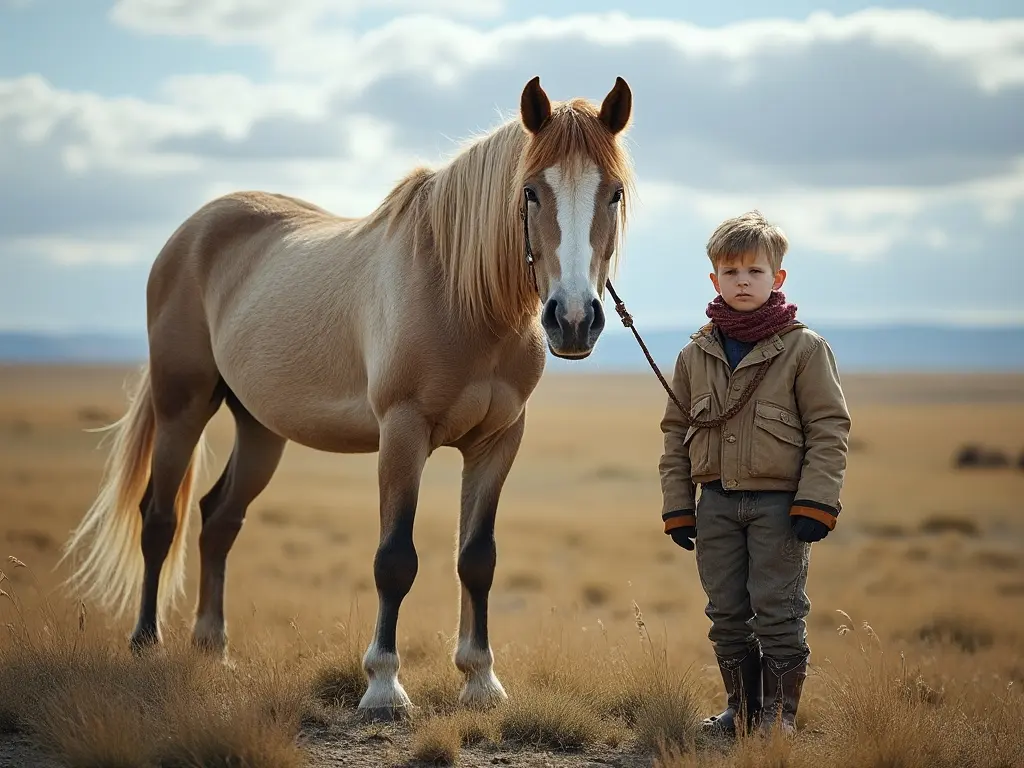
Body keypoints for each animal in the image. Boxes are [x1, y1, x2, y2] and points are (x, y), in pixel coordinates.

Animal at [59, 75, 634, 720]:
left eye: (613, 194)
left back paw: (212, 647)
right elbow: (395, 559)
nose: (574, 318)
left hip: (259, 428)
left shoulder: (498, 440)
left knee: (218, 518)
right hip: (181, 406)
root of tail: (189, 233)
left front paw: (480, 678)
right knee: (160, 518)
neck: (459, 293)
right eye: (531, 192)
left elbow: (476, 559)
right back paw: (145, 644)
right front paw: (384, 686)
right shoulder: (402, 433)